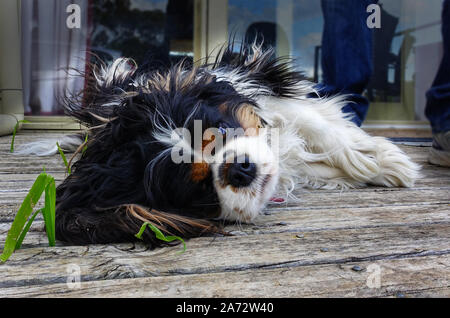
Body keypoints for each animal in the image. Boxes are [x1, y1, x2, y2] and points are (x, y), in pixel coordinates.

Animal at [18, 42, 422, 246]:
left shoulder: (262, 91)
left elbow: (319, 127)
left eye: (223, 132)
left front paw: (383, 162)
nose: (239, 168)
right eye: (197, 189)